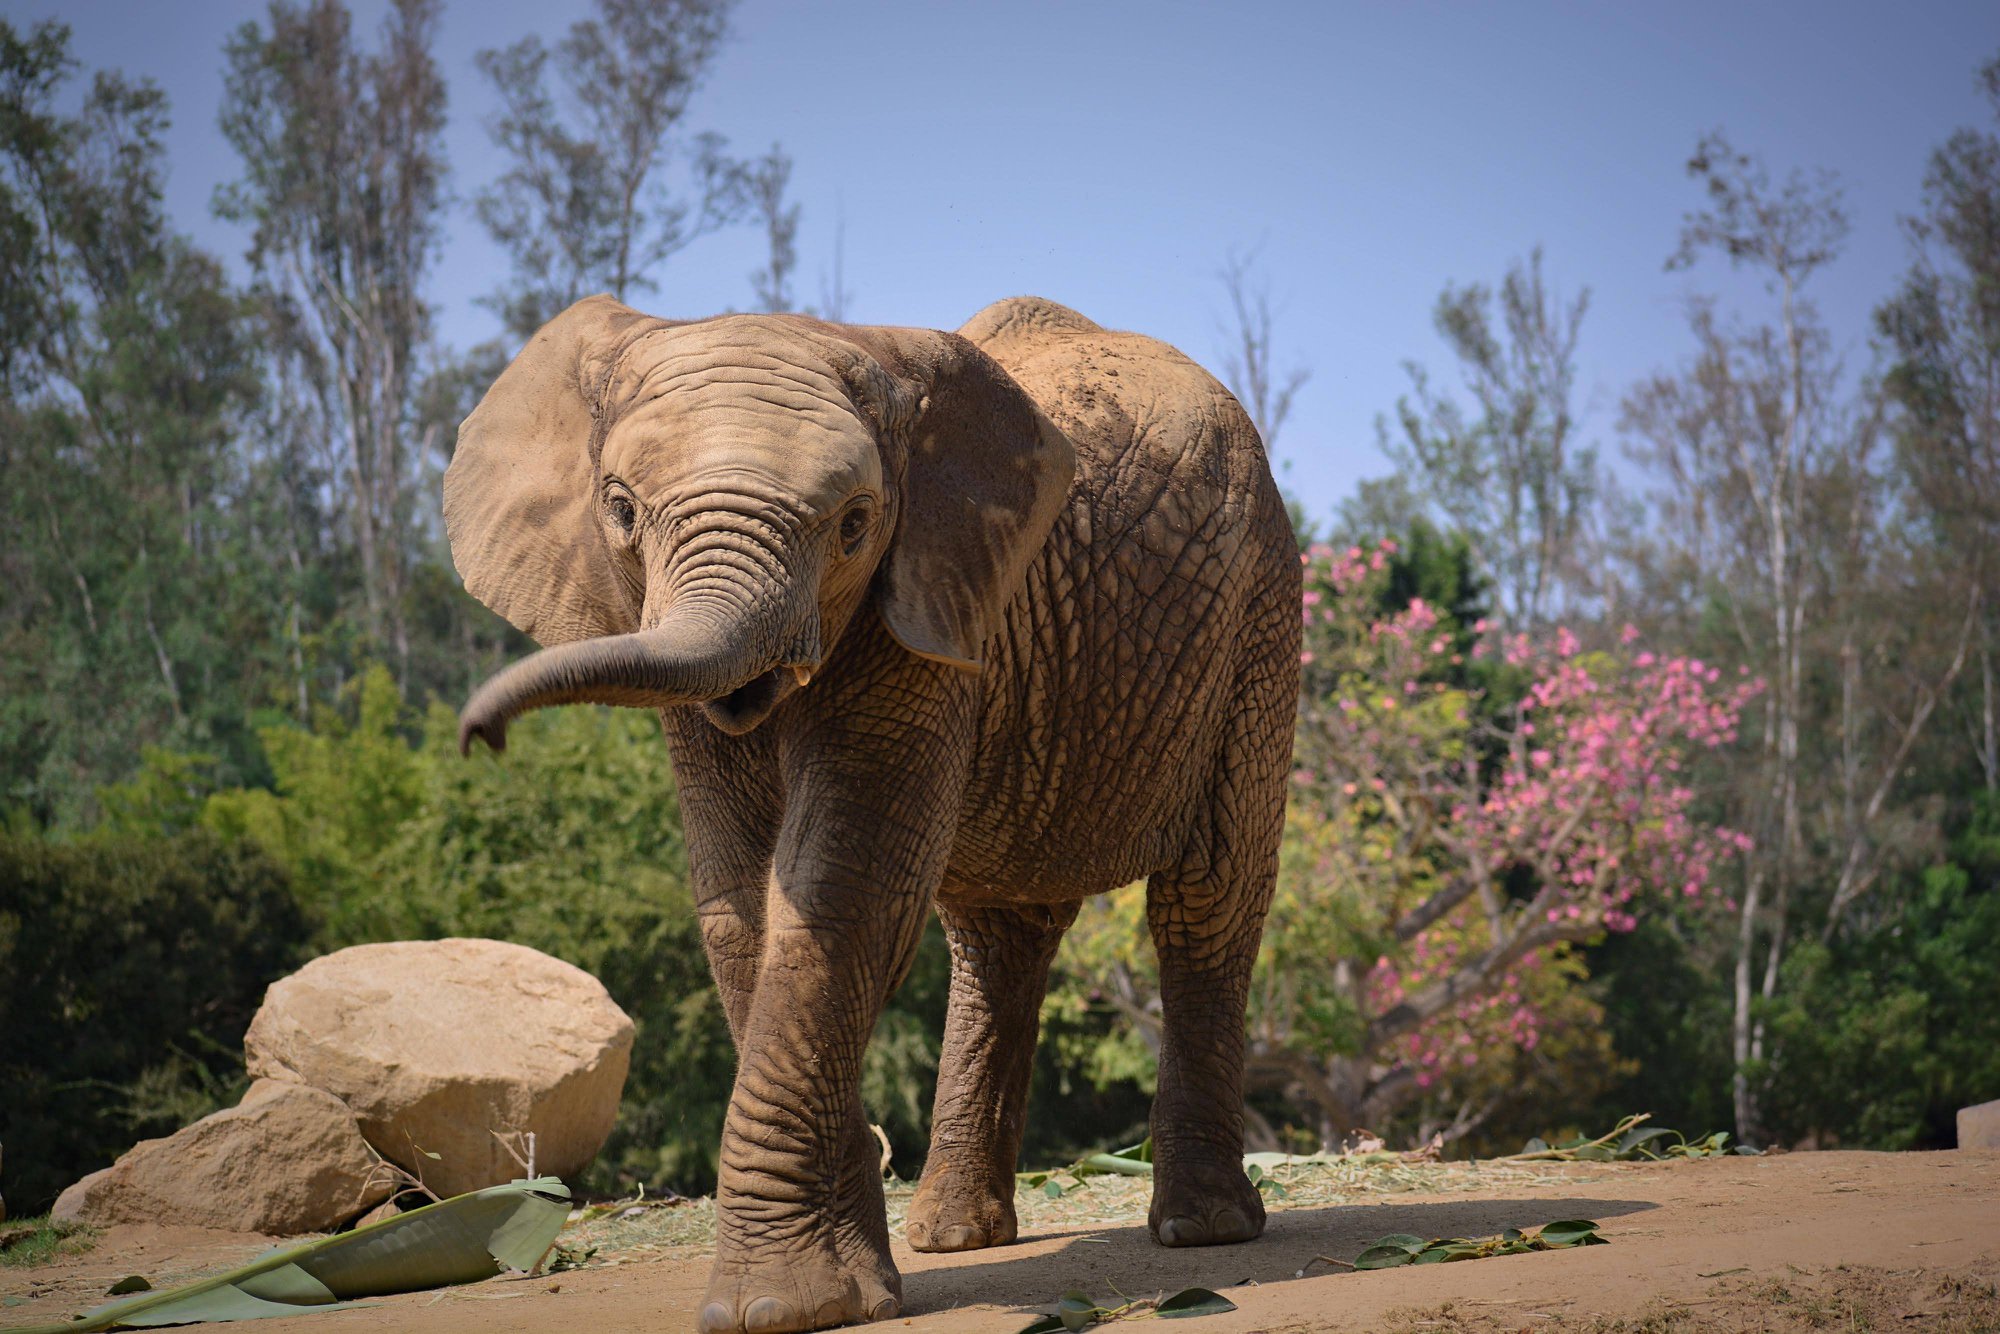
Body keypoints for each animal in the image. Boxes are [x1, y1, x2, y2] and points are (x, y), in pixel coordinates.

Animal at [446, 294, 1304, 1334]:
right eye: (619, 509)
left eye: (855, 524)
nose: (479, 734)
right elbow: (739, 906)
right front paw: (851, 1269)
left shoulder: (925, 600)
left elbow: (839, 887)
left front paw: (783, 1306)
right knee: (999, 934)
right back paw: (953, 1236)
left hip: (1261, 615)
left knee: (1207, 898)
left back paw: (1202, 1232)